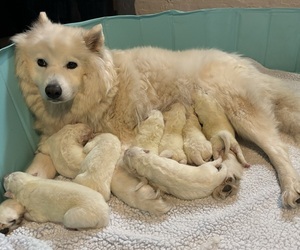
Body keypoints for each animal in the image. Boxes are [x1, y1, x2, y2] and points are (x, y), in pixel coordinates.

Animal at [10, 10, 300, 212]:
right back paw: (227, 182)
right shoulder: (50, 142)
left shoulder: (122, 139)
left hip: (241, 113)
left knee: (279, 150)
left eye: (71, 64)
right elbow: (34, 173)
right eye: (41, 62)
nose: (53, 90)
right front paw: (12, 204)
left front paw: (143, 197)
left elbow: (117, 175)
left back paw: (290, 188)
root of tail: (246, 63)